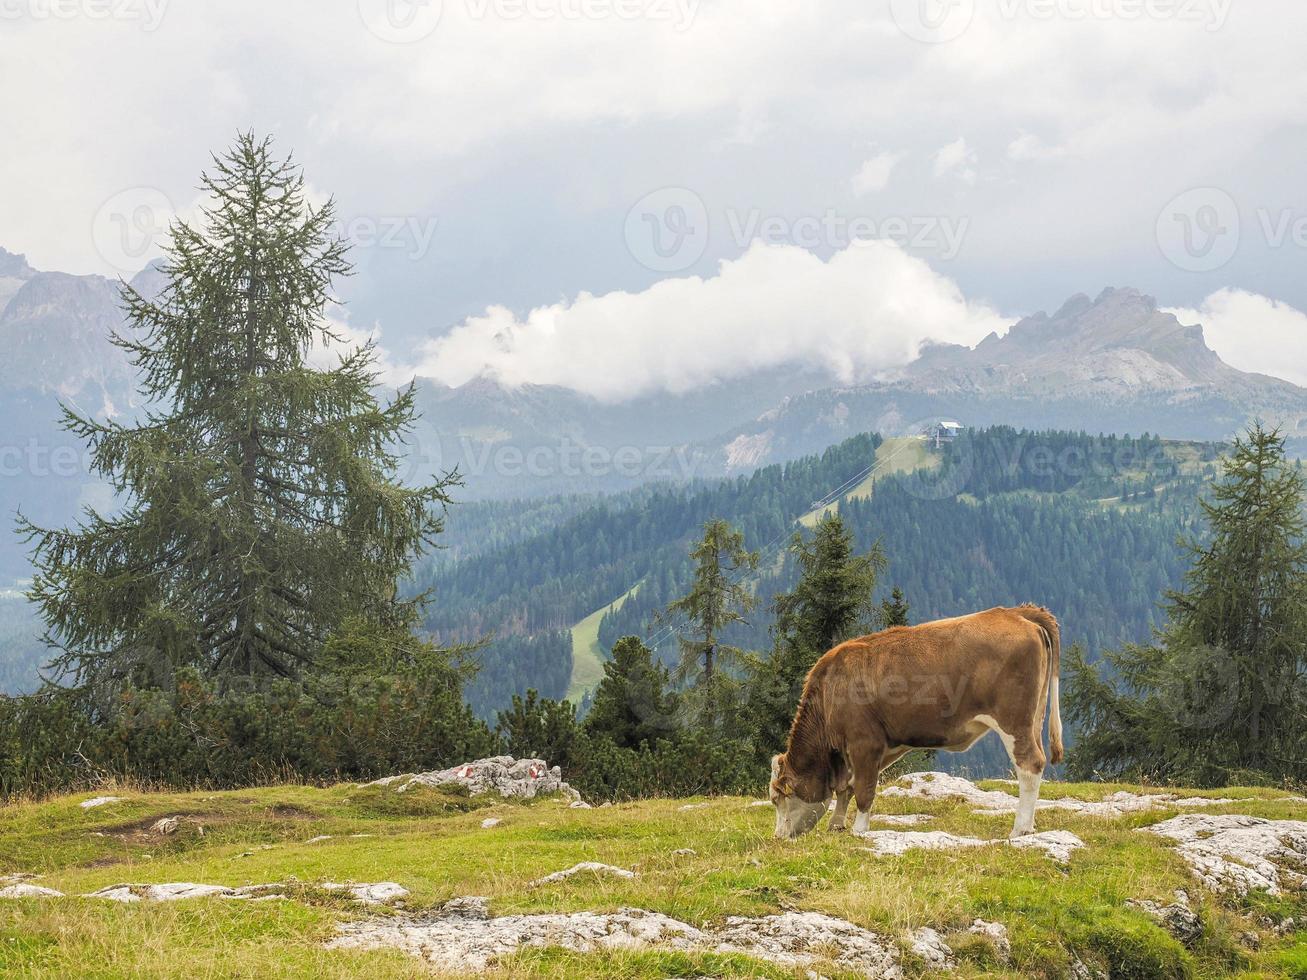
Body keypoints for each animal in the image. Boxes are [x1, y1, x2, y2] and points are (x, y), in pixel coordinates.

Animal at [763, 606, 1061, 846]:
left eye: (778, 798)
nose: (778, 837)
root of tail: (1015, 611)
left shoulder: (865, 742)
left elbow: (863, 789)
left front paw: (859, 830)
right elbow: (845, 787)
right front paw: (836, 824)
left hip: (1013, 720)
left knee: (1029, 764)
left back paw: (1019, 830)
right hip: (1034, 719)